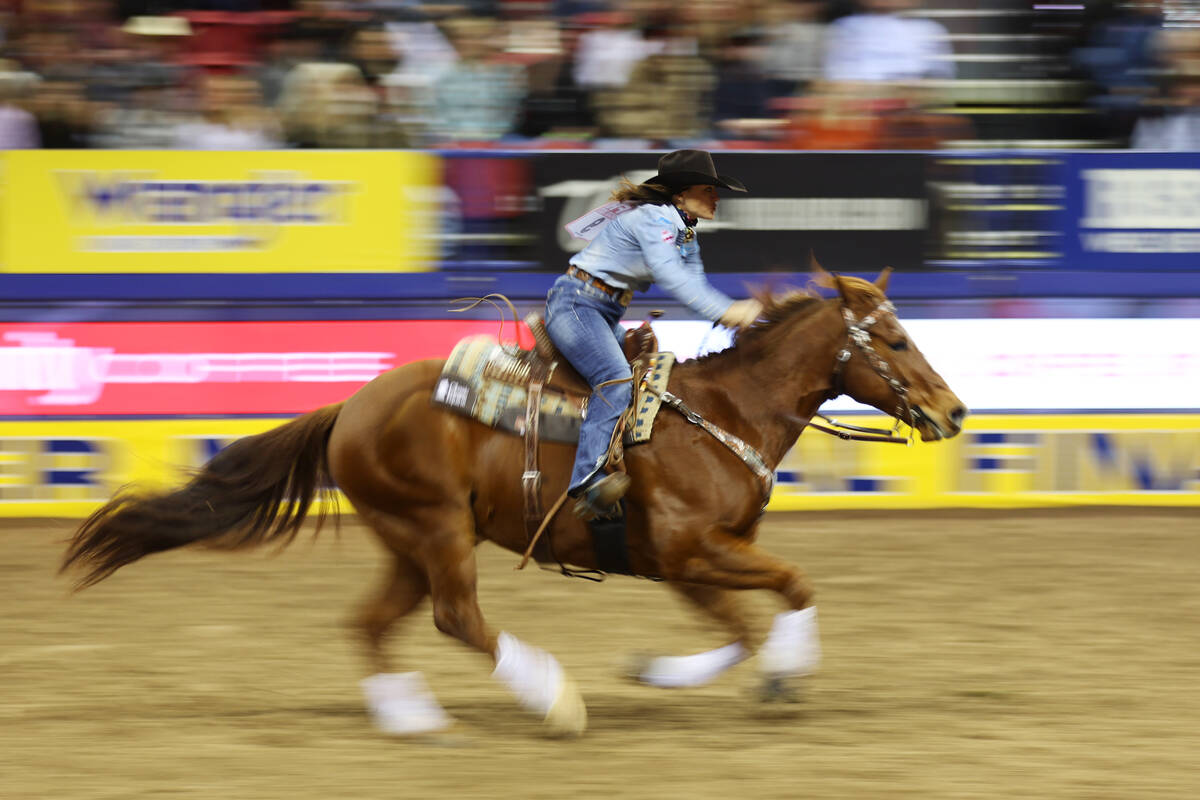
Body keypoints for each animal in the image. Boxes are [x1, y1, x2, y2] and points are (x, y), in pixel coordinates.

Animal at [63, 267, 964, 738]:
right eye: (893, 339)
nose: (952, 411)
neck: (724, 414)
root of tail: (350, 406)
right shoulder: (687, 550)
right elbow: (790, 590)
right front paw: (780, 675)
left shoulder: (684, 563)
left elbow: (742, 628)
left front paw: (669, 671)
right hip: (436, 530)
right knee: (456, 617)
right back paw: (554, 700)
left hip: (409, 539)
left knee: (372, 622)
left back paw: (410, 717)